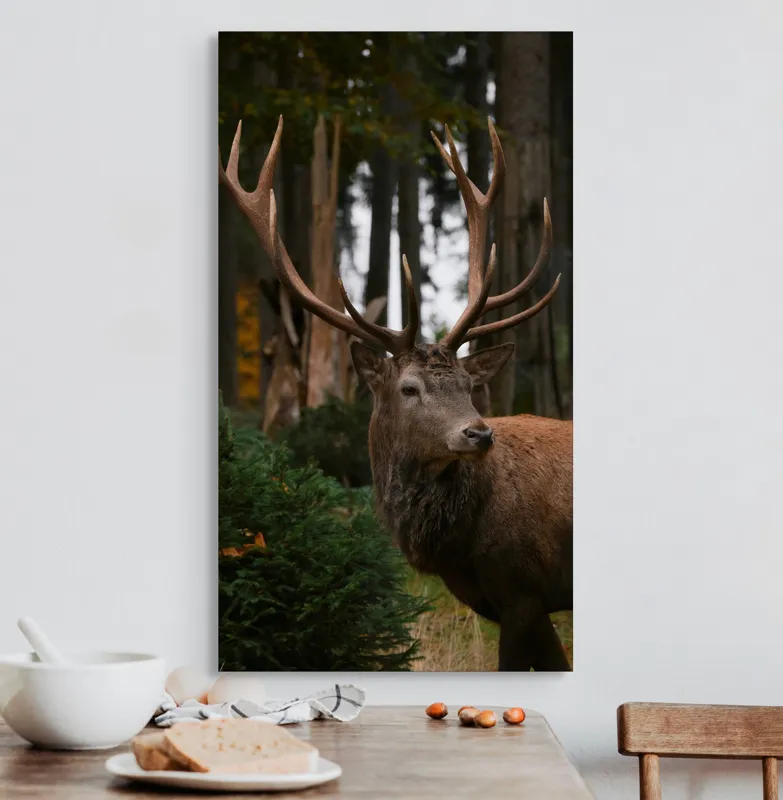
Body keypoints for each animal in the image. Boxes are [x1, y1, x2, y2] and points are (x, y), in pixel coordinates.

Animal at [219, 115, 573, 671]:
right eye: (409, 387)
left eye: (469, 385)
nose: (479, 433)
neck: (459, 546)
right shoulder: (517, 600)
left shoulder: (523, 589)